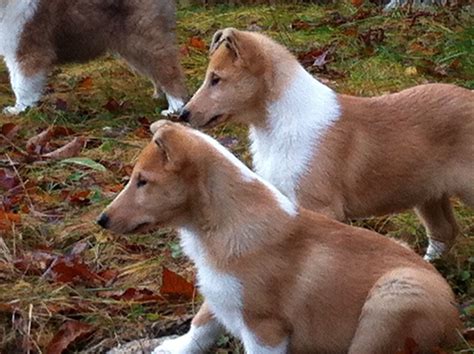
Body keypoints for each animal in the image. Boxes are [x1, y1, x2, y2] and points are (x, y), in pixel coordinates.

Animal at [0, 0, 187, 115]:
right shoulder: (12, 51)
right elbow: (15, 79)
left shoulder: (29, 49)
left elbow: (22, 84)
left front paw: (19, 109)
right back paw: (159, 95)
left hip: (143, 37)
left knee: (168, 69)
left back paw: (174, 108)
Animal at [97, 121, 460, 354]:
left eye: (142, 181)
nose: (102, 220)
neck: (214, 229)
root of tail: (456, 321)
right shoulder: (221, 292)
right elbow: (201, 325)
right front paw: (171, 347)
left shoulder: (264, 329)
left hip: (392, 300)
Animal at [181, 27, 474, 260]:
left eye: (216, 79)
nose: (183, 114)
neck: (274, 126)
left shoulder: (321, 206)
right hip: (428, 194)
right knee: (444, 232)